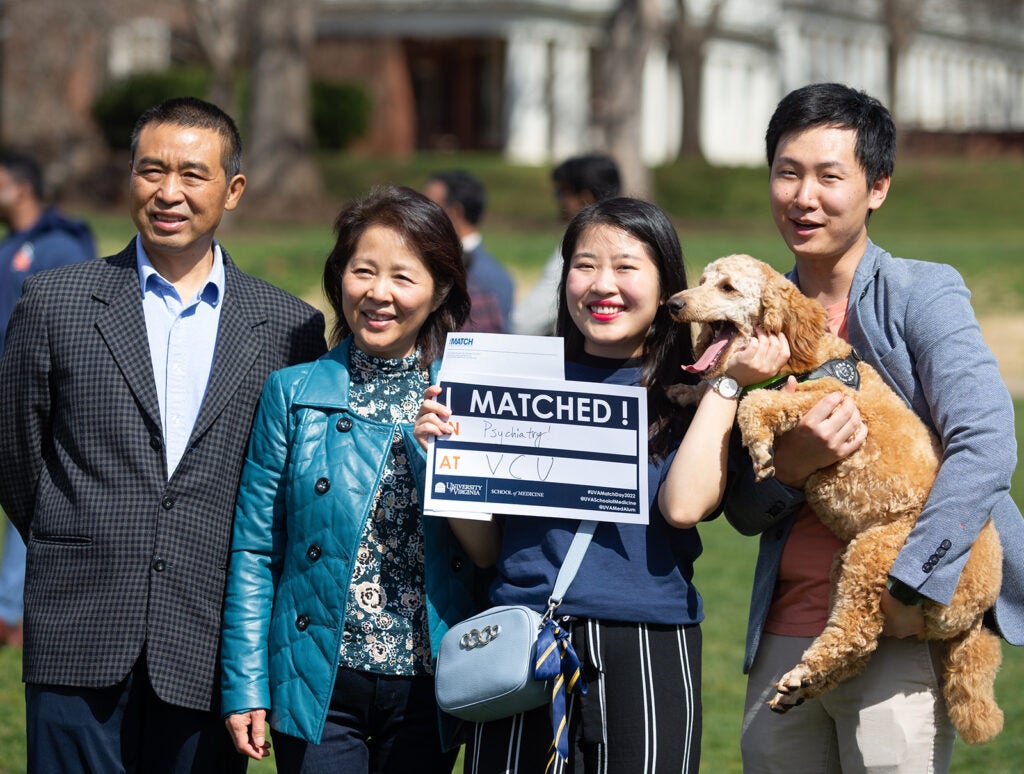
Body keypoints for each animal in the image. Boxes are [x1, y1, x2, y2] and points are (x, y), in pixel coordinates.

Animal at [667, 253, 1003, 745]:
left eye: (728, 287)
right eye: (704, 280)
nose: (674, 304)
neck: (802, 354)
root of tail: (978, 611)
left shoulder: (831, 401)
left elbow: (756, 403)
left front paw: (759, 445)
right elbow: (731, 389)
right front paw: (685, 392)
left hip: (875, 552)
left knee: (857, 633)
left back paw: (803, 675)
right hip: (843, 563)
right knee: (858, 649)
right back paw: (800, 686)